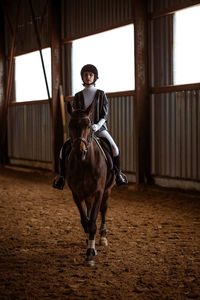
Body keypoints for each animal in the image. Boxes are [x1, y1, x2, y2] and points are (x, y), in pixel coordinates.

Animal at [66, 102, 115, 266]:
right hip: (87, 195)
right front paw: (89, 245)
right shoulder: (76, 194)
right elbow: (85, 221)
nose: (79, 152)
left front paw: (90, 254)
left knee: (104, 210)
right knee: (88, 211)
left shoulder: (99, 192)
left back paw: (103, 237)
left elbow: (93, 222)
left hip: (107, 191)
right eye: (70, 125)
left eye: (88, 126)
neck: (84, 164)